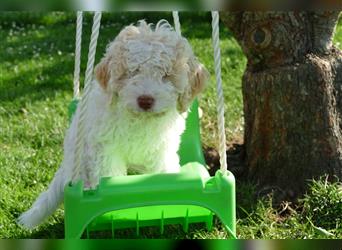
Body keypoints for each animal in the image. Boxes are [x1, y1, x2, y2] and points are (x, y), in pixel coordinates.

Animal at [19, 20, 211, 229]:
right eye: (133, 72)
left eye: (166, 75)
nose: (145, 100)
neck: (139, 118)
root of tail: (66, 165)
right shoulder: (104, 148)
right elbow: (110, 175)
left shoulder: (161, 147)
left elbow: (163, 170)